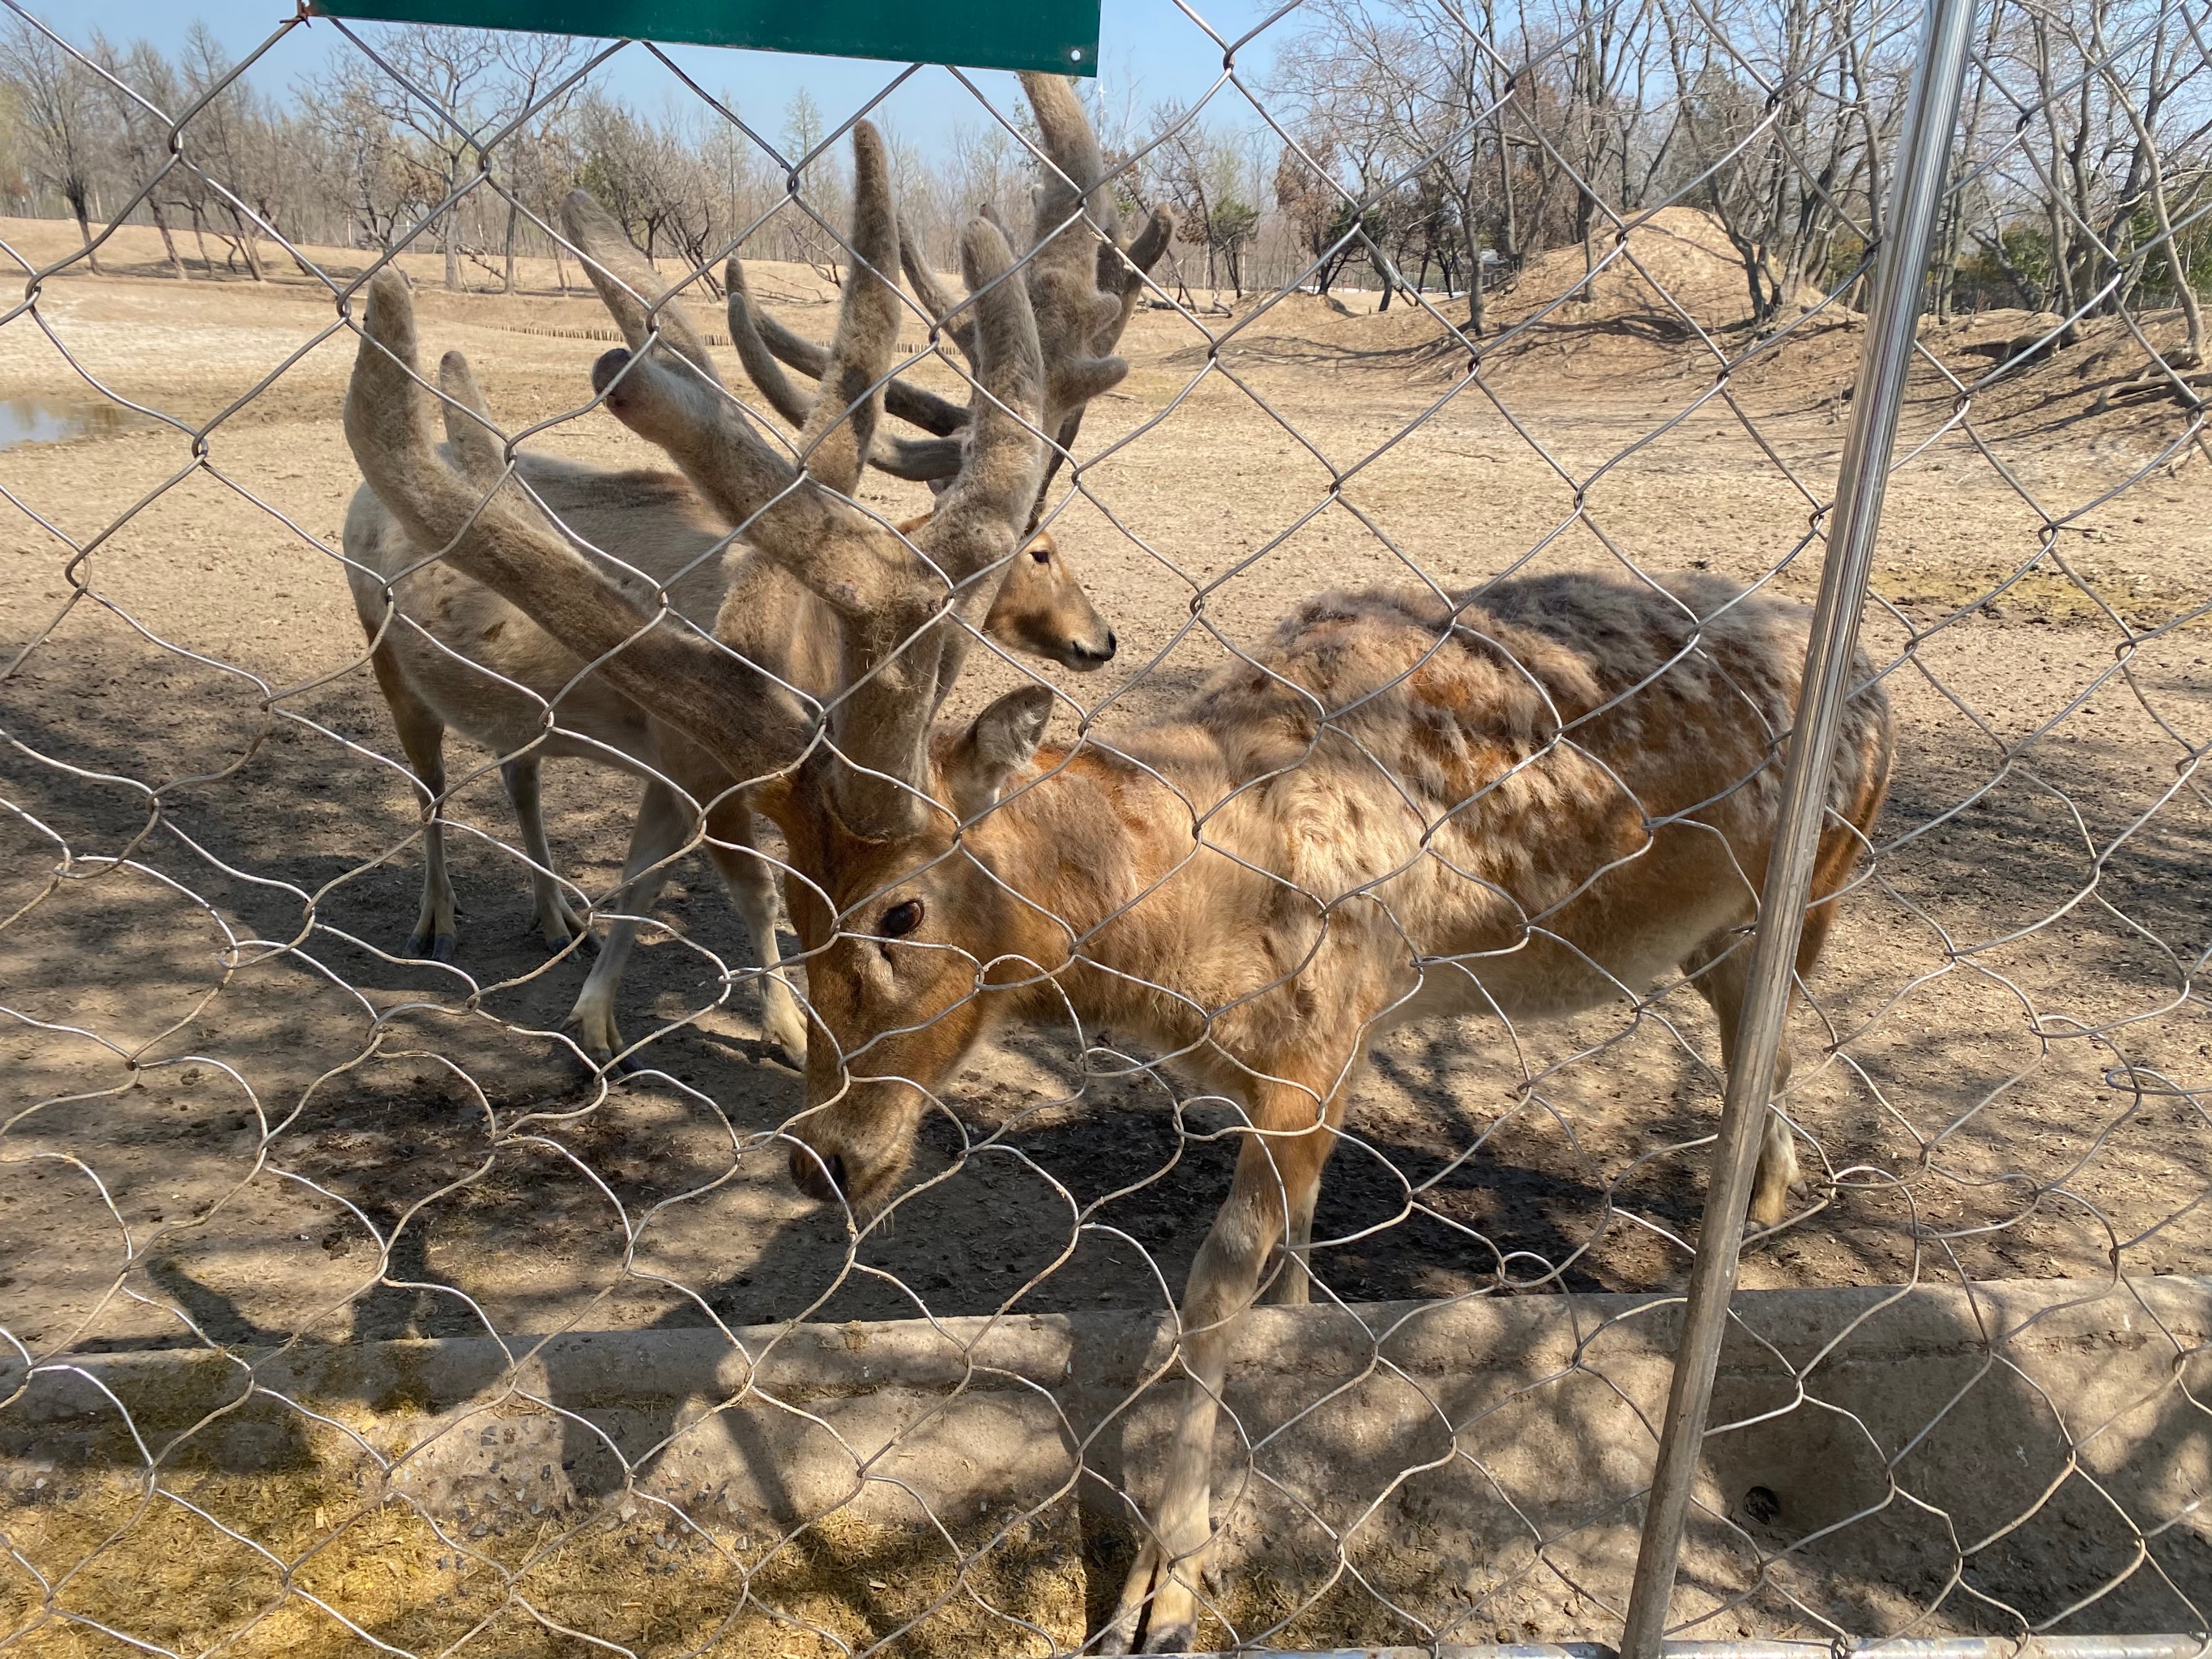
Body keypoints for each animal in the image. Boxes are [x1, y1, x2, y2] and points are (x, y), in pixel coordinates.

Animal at [344, 168, 1150, 1070]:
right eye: (1039, 550)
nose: (1101, 638)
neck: (813, 655)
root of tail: (359, 496)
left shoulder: (674, 764)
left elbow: (643, 880)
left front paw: (599, 1015)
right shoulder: (701, 762)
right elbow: (752, 891)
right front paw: (786, 1028)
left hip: (519, 710)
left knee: (519, 776)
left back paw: (556, 915)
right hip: (385, 657)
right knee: (428, 786)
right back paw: (434, 919)